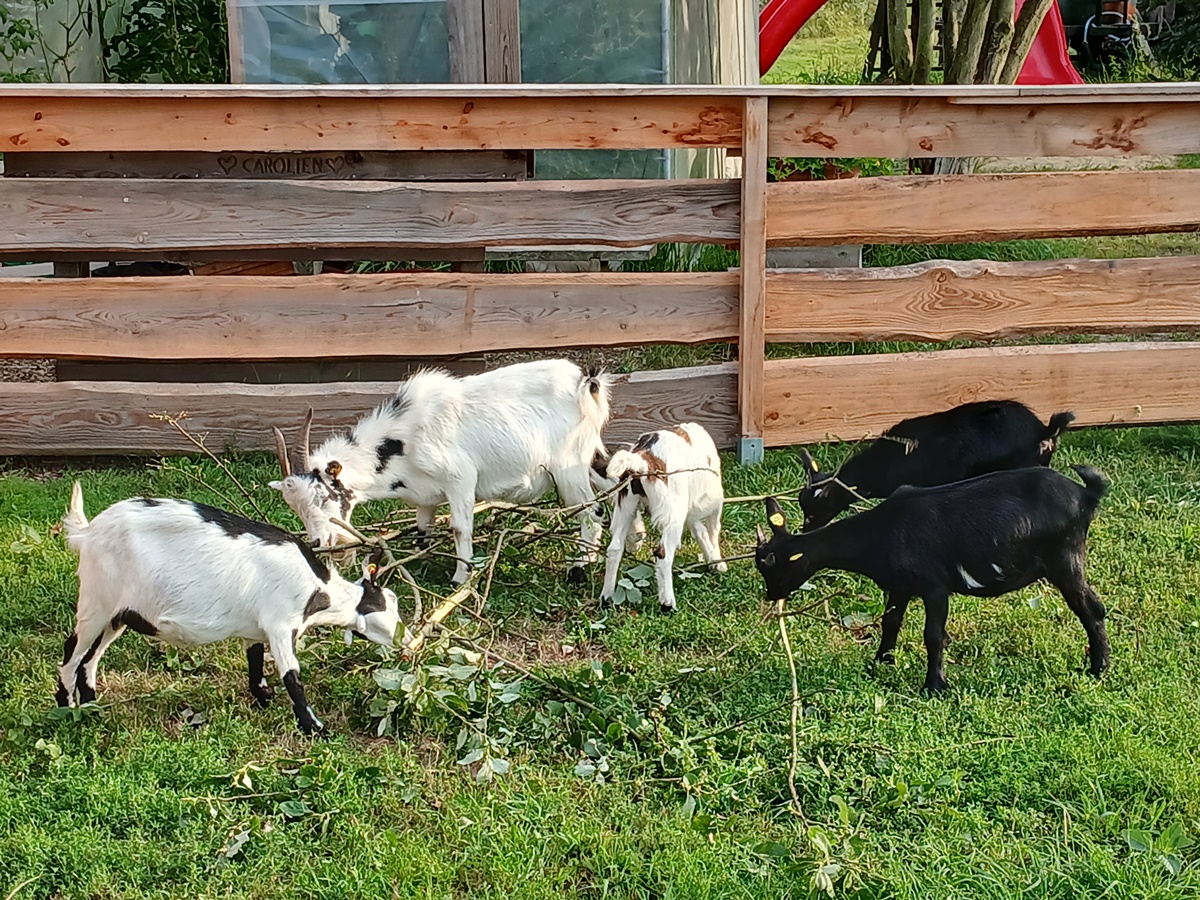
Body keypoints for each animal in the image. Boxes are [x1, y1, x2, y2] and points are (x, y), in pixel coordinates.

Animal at [58, 482, 400, 734]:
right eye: (387, 604)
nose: (405, 641)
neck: (318, 589)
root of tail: (86, 533)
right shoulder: (280, 625)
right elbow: (292, 676)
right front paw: (315, 727)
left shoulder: (256, 629)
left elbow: (254, 663)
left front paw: (263, 696)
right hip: (96, 601)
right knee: (72, 650)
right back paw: (65, 708)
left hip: (118, 615)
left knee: (90, 658)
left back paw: (91, 707)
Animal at [270, 360, 611, 585]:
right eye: (295, 507)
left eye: (323, 495)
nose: (317, 542)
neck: (403, 435)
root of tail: (587, 383)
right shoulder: (425, 495)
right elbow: (423, 529)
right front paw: (420, 561)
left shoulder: (460, 479)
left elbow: (460, 527)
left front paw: (461, 577)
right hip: (591, 458)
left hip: (568, 469)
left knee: (591, 514)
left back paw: (579, 569)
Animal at [599, 423, 725, 613]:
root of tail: (643, 459)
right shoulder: (713, 502)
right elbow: (712, 531)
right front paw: (717, 562)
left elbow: (699, 530)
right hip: (674, 514)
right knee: (663, 554)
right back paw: (667, 603)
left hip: (625, 506)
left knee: (614, 549)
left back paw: (606, 597)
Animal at [755, 465, 1109, 693]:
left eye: (774, 568)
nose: (771, 596)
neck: (882, 532)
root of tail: (1086, 494)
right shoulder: (899, 586)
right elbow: (891, 622)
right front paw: (881, 662)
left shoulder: (934, 587)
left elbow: (933, 636)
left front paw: (934, 686)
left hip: (1065, 559)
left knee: (1092, 608)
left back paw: (1099, 668)